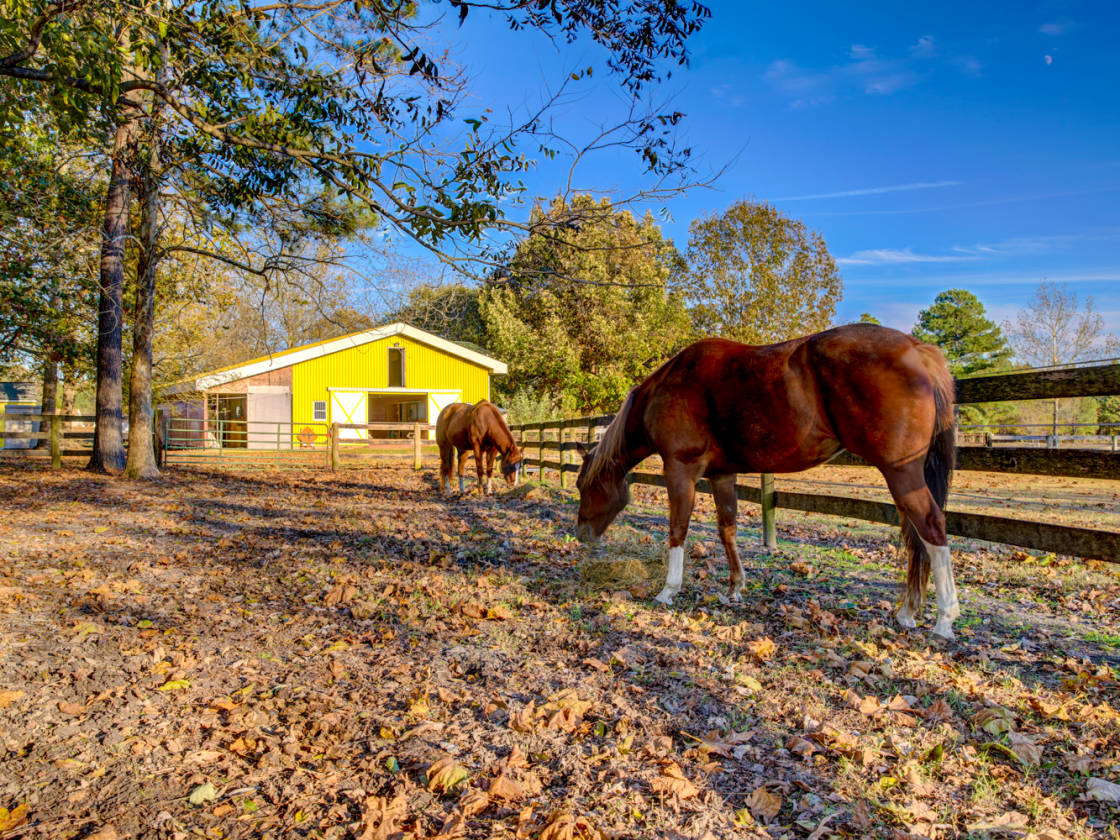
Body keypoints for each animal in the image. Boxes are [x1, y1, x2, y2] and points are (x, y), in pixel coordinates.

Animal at [574, 324, 961, 640]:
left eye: (584, 486)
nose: (581, 535)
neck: (667, 387)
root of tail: (917, 349)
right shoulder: (721, 475)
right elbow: (727, 528)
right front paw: (734, 587)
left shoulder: (679, 471)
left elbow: (678, 530)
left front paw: (669, 590)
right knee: (915, 537)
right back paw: (908, 611)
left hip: (901, 473)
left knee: (931, 525)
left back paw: (944, 618)